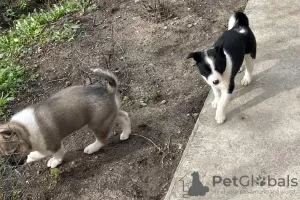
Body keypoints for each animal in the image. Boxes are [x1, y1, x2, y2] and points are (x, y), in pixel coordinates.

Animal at [0, 69, 131, 167]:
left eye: (12, 153)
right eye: (4, 156)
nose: (13, 165)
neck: (25, 130)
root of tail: (108, 90)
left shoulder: (53, 145)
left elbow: (52, 154)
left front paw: (51, 161)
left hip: (97, 124)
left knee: (102, 140)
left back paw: (92, 148)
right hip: (109, 115)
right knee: (124, 116)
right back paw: (126, 133)